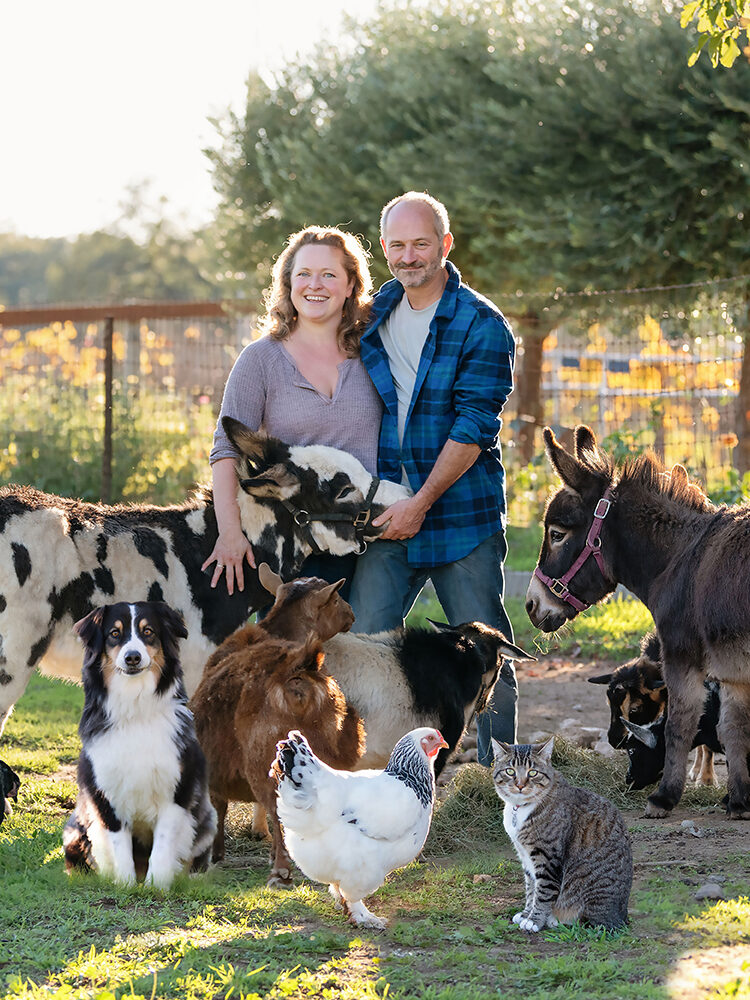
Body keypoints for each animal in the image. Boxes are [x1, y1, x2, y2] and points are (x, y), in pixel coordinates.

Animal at [62, 596, 216, 888]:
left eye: (148, 632)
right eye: (114, 634)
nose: (132, 657)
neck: (135, 706)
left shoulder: (177, 790)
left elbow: (163, 845)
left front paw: (157, 886)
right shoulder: (105, 792)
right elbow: (119, 844)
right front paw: (126, 885)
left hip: (207, 820)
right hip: (74, 828)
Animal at [494, 736, 636, 928]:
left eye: (533, 773)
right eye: (510, 771)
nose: (520, 785)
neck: (520, 809)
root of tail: (621, 916)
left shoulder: (547, 857)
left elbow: (543, 892)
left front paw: (534, 920)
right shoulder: (525, 855)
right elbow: (531, 887)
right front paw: (525, 914)